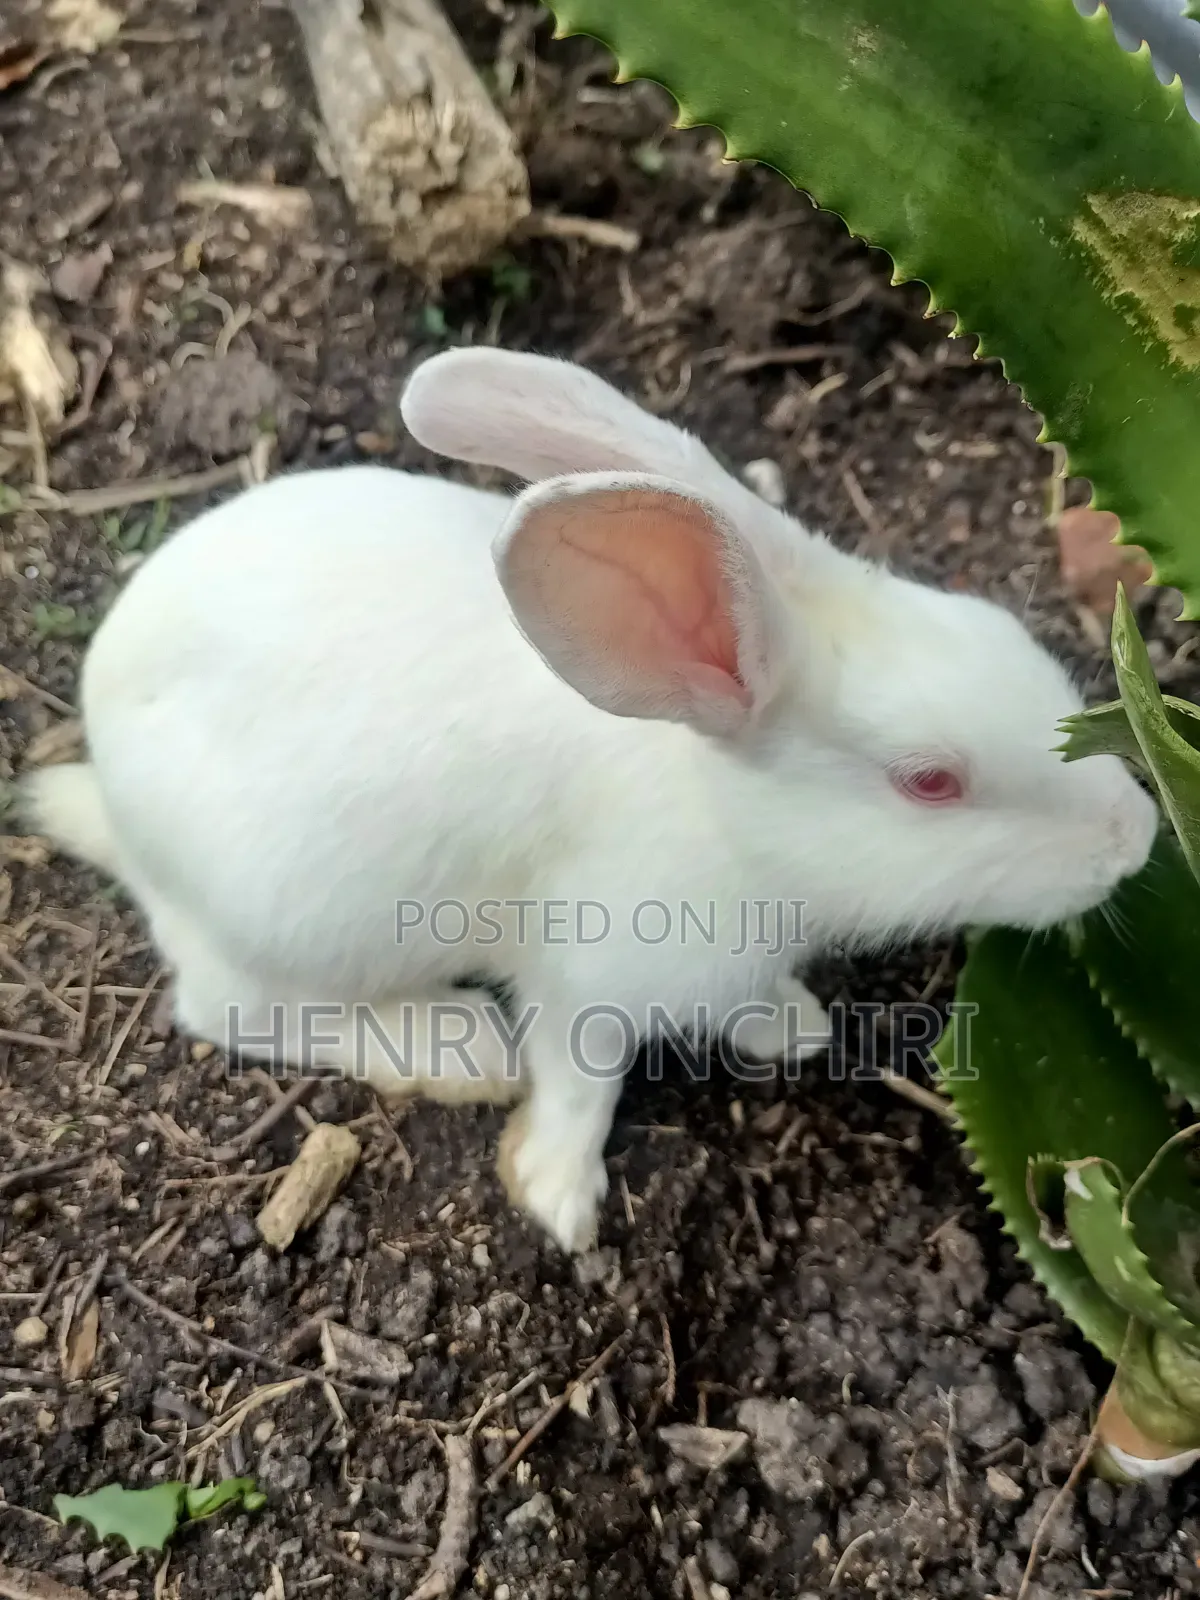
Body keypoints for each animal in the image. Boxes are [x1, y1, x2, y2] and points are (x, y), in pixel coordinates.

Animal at [23, 346, 1159, 1254]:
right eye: (930, 781)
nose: (1140, 835)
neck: (723, 812)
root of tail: (108, 787)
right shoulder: (593, 969)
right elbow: (584, 1072)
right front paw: (554, 1192)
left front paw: (787, 1028)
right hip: (294, 911)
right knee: (229, 1003)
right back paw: (457, 1046)